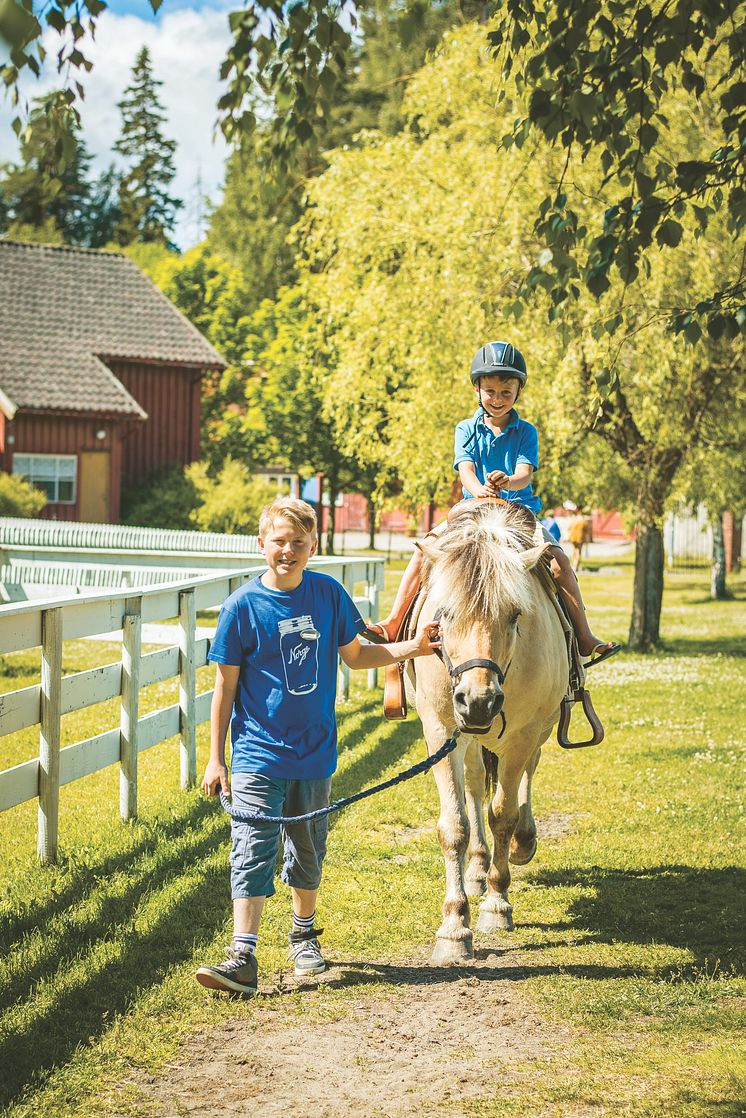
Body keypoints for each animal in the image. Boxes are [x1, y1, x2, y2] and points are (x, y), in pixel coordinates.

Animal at [409, 503, 565, 965]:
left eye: (515, 616)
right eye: (444, 614)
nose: (478, 700)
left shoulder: (523, 735)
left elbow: (504, 814)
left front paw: (497, 902)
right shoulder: (440, 730)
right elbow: (455, 824)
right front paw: (455, 923)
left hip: (538, 730)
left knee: (526, 776)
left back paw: (521, 844)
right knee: (477, 785)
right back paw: (477, 868)